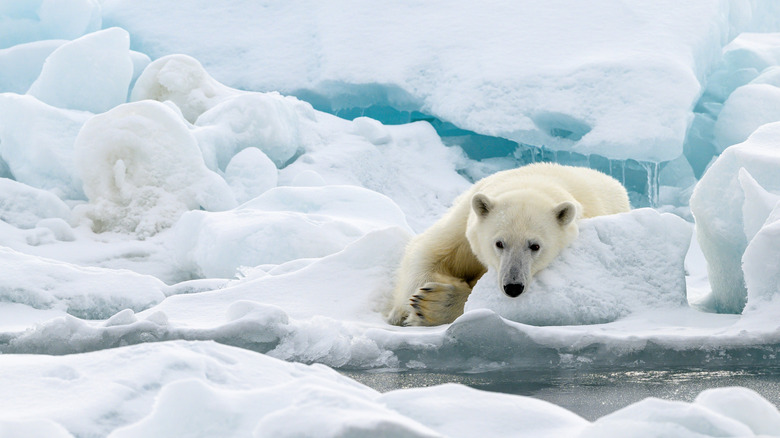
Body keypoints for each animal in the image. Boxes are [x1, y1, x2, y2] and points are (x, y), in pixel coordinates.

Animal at [385, 162, 630, 326]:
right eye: (499, 243)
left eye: (535, 246)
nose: (513, 286)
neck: (534, 181)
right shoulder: (465, 221)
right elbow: (428, 250)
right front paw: (404, 311)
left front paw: (431, 303)